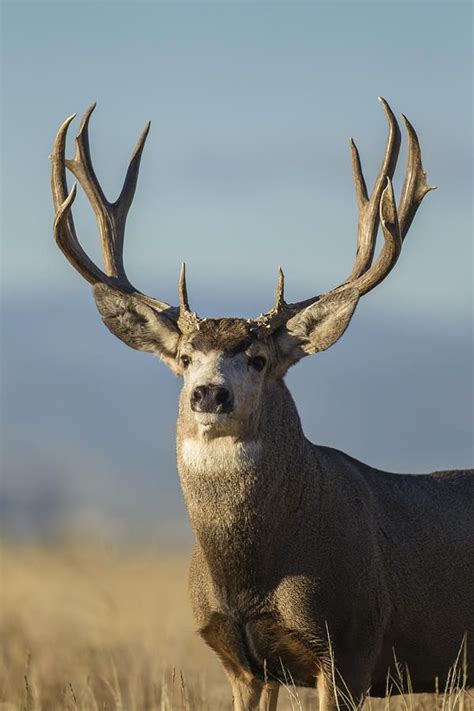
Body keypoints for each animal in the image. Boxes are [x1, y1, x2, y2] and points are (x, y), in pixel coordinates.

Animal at [50, 97, 472, 708]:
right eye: (184, 358)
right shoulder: (240, 661)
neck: (247, 577)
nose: (209, 393)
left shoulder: (349, 643)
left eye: (257, 358)